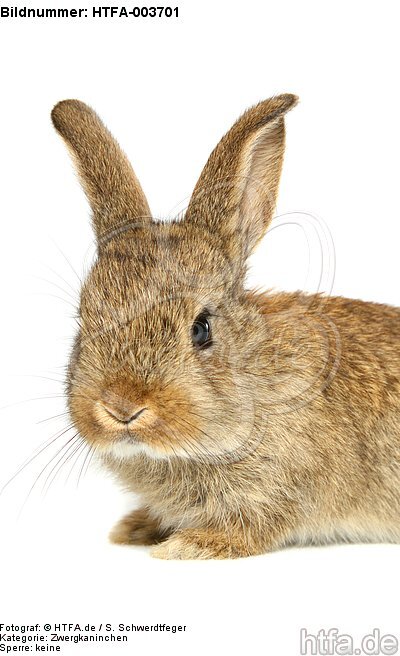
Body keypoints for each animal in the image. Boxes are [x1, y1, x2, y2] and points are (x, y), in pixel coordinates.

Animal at [51, 94, 400, 559]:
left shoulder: (275, 490)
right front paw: (135, 529)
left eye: (201, 328)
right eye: (83, 319)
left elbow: (247, 527)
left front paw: (185, 546)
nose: (121, 407)